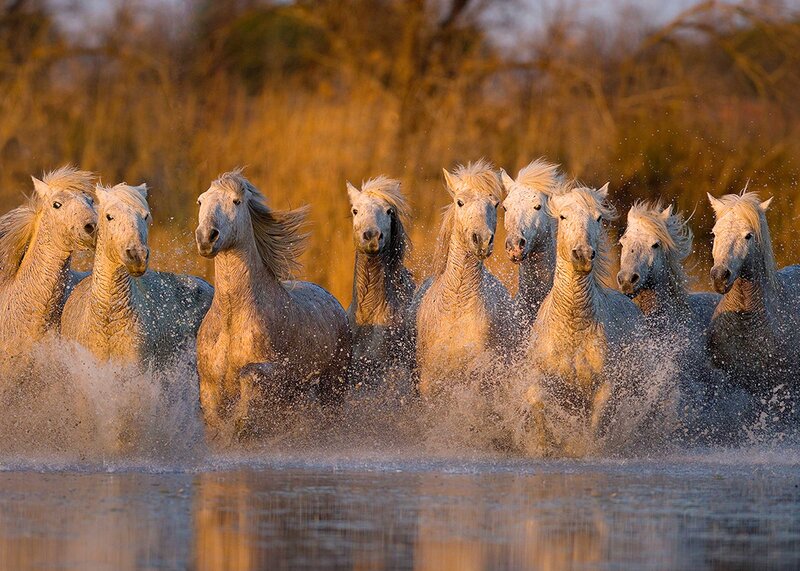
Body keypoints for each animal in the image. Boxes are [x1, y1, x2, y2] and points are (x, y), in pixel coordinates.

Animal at [195, 170, 351, 441]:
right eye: (200, 201)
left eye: (236, 201)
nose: (206, 238)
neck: (232, 317)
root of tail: (334, 302)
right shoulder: (209, 387)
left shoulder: (275, 373)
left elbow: (249, 376)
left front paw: (241, 423)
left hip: (332, 386)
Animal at [414, 160, 513, 397]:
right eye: (460, 202)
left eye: (495, 204)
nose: (482, 240)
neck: (456, 307)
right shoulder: (428, 380)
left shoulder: (476, 378)